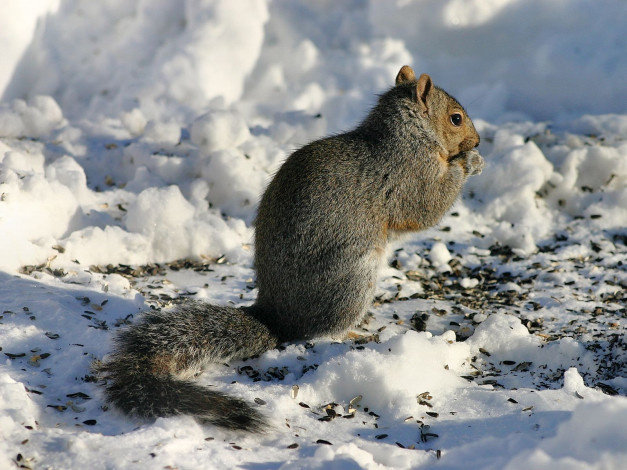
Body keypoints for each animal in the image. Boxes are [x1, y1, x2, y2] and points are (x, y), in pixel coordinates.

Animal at [100, 66, 486, 434]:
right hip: (353, 276)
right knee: (320, 330)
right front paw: (470, 162)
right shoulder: (410, 176)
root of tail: (276, 316)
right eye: (455, 118)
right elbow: (428, 206)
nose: (478, 140)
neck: (408, 135)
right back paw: (355, 333)